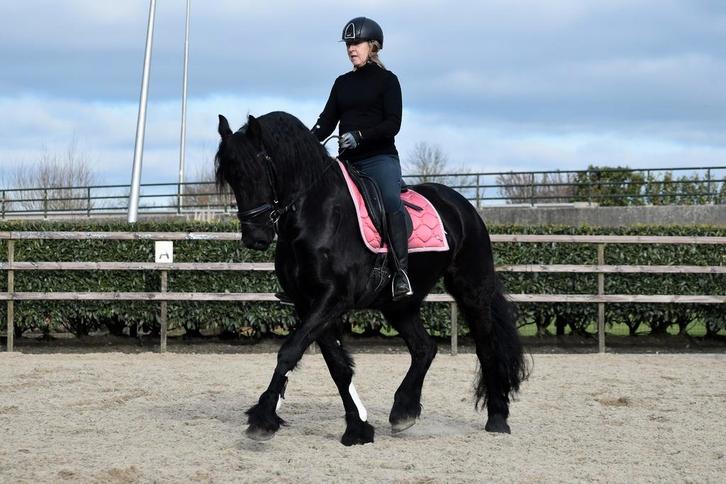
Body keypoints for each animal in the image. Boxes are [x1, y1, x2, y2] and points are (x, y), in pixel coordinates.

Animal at [215, 111, 527, 446]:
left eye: (259, 170)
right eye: (231, 177)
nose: (255, 238)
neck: (316, 216)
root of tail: (462, 206)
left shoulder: (333, 299)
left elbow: (290, 351)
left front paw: (263, 418)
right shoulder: (307, 303)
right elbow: (337, 366)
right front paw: (358, 428)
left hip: (472, 290)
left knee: (487, 348)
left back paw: (497, 419)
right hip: (399, 305)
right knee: (424, 348)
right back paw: (403, 411)